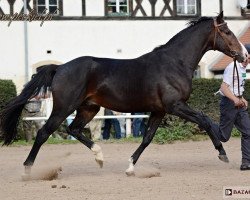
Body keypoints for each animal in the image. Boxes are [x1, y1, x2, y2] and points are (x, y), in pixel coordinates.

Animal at [0, 11, 248, 176]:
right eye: (227, 31)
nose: (244, 55)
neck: (174, 63)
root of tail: (59, 68)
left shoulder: (159, 111)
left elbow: (147, 138)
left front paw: (130, 167)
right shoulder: (175, 106)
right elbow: (204, 120)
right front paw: (223, 154)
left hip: (89, 108)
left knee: (74, 129)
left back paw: (99, 156)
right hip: (64, 108)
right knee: (44, 133)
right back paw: (27, 170)